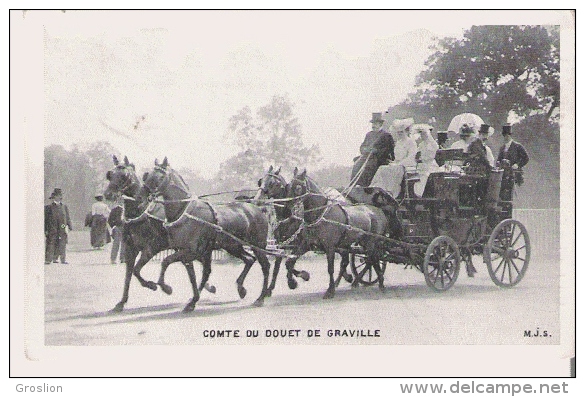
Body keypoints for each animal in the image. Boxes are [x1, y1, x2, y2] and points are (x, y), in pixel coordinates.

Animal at [102, 156, 214, 310]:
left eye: (124, 175)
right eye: (110, 174)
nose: (108, 194)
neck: (141, 213)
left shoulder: (153, 247)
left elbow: (136, 270)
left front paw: (155, 286)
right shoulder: (131, 249)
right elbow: (129, 274)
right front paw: (122, 301)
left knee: (198, 267)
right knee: (195, 267)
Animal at [141, 156, 272, 310]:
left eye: (160, 176)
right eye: (148, 175)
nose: (144, 193)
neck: (184, 211)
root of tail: (257, 208)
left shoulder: (192, 251)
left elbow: (166, 261)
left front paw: (166, 288)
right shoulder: (187, 253)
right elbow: (193, 277)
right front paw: (192, 301)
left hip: (258, 245)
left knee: (265, 266)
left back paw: (261, 297)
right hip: (233, 246)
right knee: (249, 259)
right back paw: (241, 288)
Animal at [288, 167, 392, 296]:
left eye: (298, 187)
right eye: (289, 185)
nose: (288, 205)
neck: (321, 215)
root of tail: (379, 210)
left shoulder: (330, 247)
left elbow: (330, 268)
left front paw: (330, 290)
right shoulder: (307, 244)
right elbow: (289, 261)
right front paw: (297, 280)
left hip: (371, 243)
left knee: (372, 259)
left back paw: (378, 283)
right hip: (363, 243)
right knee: (370, 260)